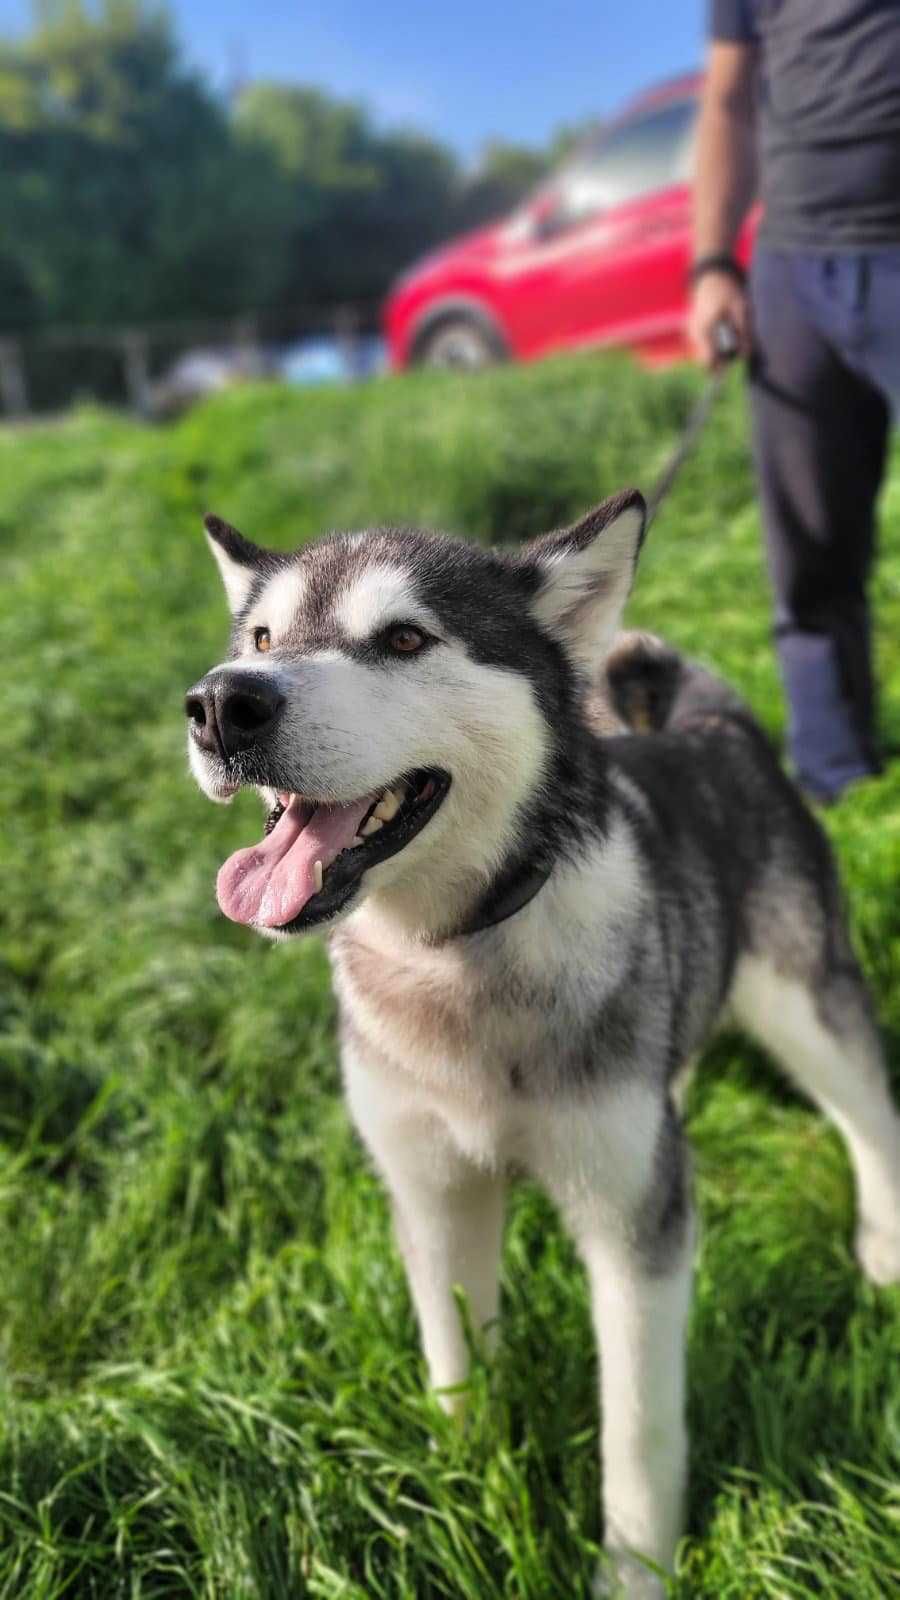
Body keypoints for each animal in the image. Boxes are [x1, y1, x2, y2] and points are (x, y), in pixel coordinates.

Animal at [184, 492, 896, 1593]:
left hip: (805, 1001)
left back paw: (884, 1241)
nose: (222, 704)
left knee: (867, 1109)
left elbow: (639, 1432)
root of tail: (713, 728)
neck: (459, 958)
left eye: (404, 638)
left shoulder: (636, 1224)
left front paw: (634, 1573)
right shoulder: (432, 1192)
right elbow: (454, 1361)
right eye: (261, 639)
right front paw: (462, 1487)